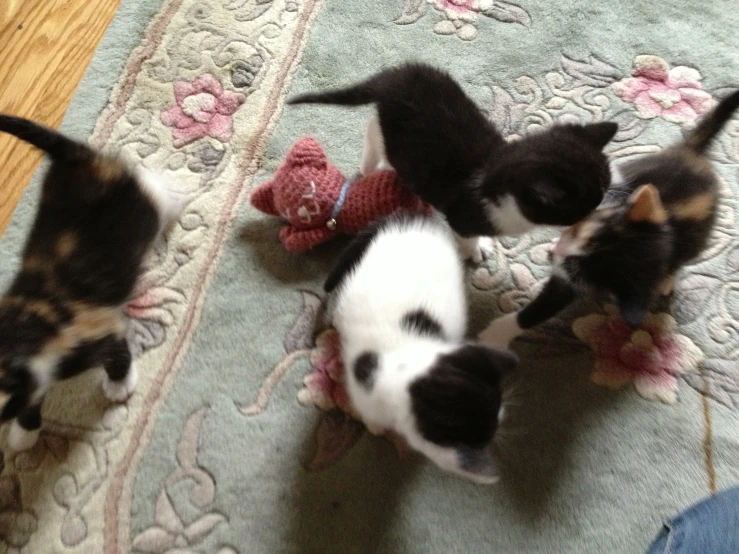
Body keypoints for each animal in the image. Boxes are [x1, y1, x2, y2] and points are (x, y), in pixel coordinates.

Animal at [0, 115, 185, 448]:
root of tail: (78, 159)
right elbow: (34, 394)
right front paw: (25, 431)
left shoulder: (98, 323)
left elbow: (116, 351)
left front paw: (119, 386)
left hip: (137, 202)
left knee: (149, 188)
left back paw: (170, 194)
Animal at [251, 137, 434, 251]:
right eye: (288, 213)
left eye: (310, 190)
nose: (303, 211)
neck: (340, 206)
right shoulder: (327, 228)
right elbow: (304, 239)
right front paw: (288, 233)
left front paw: (286, 234)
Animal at [290, 63, 620, 262]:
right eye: (587, 206)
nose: (604, 216)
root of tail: (399, 74)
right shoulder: (462, 216)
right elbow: (465, 235)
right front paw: (475, 251)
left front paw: (483, 245)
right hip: (394, 132)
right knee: (374, 133)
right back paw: (372, 165)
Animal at [326, 212, 516, 484]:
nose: (501, 422)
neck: (401, 366)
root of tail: (410, 218)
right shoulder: (361, 389)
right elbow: (368, 412)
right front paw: (374, 426)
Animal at [476, 88, 739, 342]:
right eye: (580, 233)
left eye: (576, 265)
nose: (556, 254)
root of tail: (693, 154)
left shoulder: (581, 281)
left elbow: (545, 305)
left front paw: (493, 336)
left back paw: (667, 279)